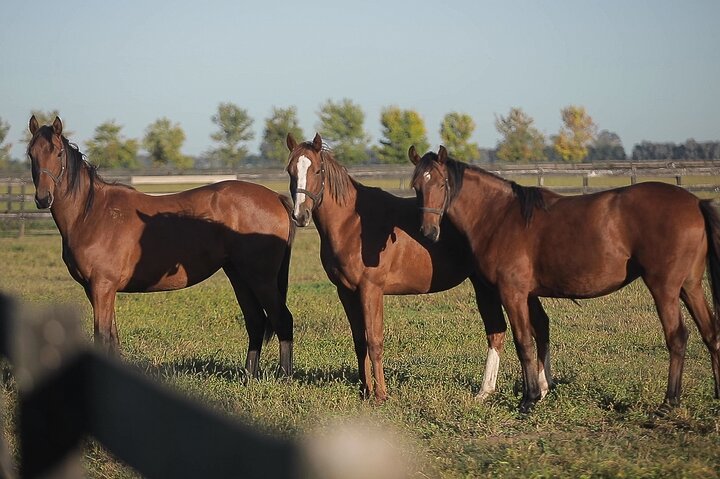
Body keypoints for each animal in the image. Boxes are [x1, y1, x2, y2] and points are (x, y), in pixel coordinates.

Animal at [27, 116, 296, 377]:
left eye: (58, 153)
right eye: (31, 153)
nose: (43, 198)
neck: (92, 213)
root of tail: (275, 197)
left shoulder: (102, 286)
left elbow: (102, 336)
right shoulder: (96, 289)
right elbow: (113, 337)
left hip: (260, 278)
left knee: (282, 319)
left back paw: (284, 376)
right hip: (239, 275)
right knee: (255, 321)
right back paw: (249, 376)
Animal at [285, 133, 553, 402]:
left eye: (317, 170)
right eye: (290, 171)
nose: (300, 215)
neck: (353, 224)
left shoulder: (371, 290)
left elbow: (374, 341)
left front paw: (381, 395)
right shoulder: (346, 292)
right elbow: (360, 341)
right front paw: (365, 391)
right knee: (528, 326)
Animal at [410, 145, 720, 413]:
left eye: (441, 184)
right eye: (416, 187)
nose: (428, 232)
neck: (499, 216)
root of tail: (695, 202)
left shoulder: (513, 293)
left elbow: (524, 342)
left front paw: (529, 399)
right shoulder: (529, 294)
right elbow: (540, 332)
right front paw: (541, 390)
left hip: (664, 287)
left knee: (677, 337)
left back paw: (669, 402)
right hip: (690, 286)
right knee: (711, 332)